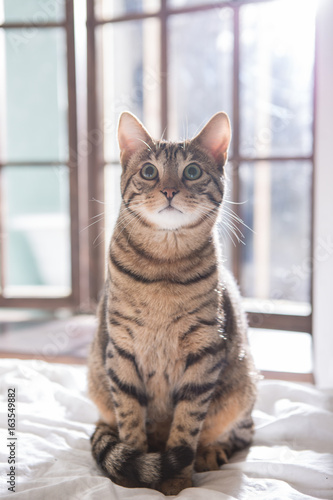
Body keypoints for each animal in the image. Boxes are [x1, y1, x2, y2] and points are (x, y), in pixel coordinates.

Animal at [87, 110, 256, 496]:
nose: (168, 189)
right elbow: (130, 420)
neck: (163, 266)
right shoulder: (122, 348)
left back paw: (210, 452)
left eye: (192, 172)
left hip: (243, 387)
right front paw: (129, 480)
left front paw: (176, 481)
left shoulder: (205, 351)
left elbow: (185, 428)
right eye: (149, 171)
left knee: (239, 434)